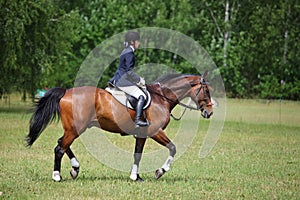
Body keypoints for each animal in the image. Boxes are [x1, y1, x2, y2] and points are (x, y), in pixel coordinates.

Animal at [25, 72, 213, 181]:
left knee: (61, 144)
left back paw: (75, 169)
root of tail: (66, 92)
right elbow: (173, 148)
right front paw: (160, 171)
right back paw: (57, 176)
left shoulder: (142, 134)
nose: (209, 112)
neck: (162, 98)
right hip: (75, 129)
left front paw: (135, 177)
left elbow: (137, 155)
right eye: (207, 91)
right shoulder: (155, 132)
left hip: (74, 128)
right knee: (60, 148)